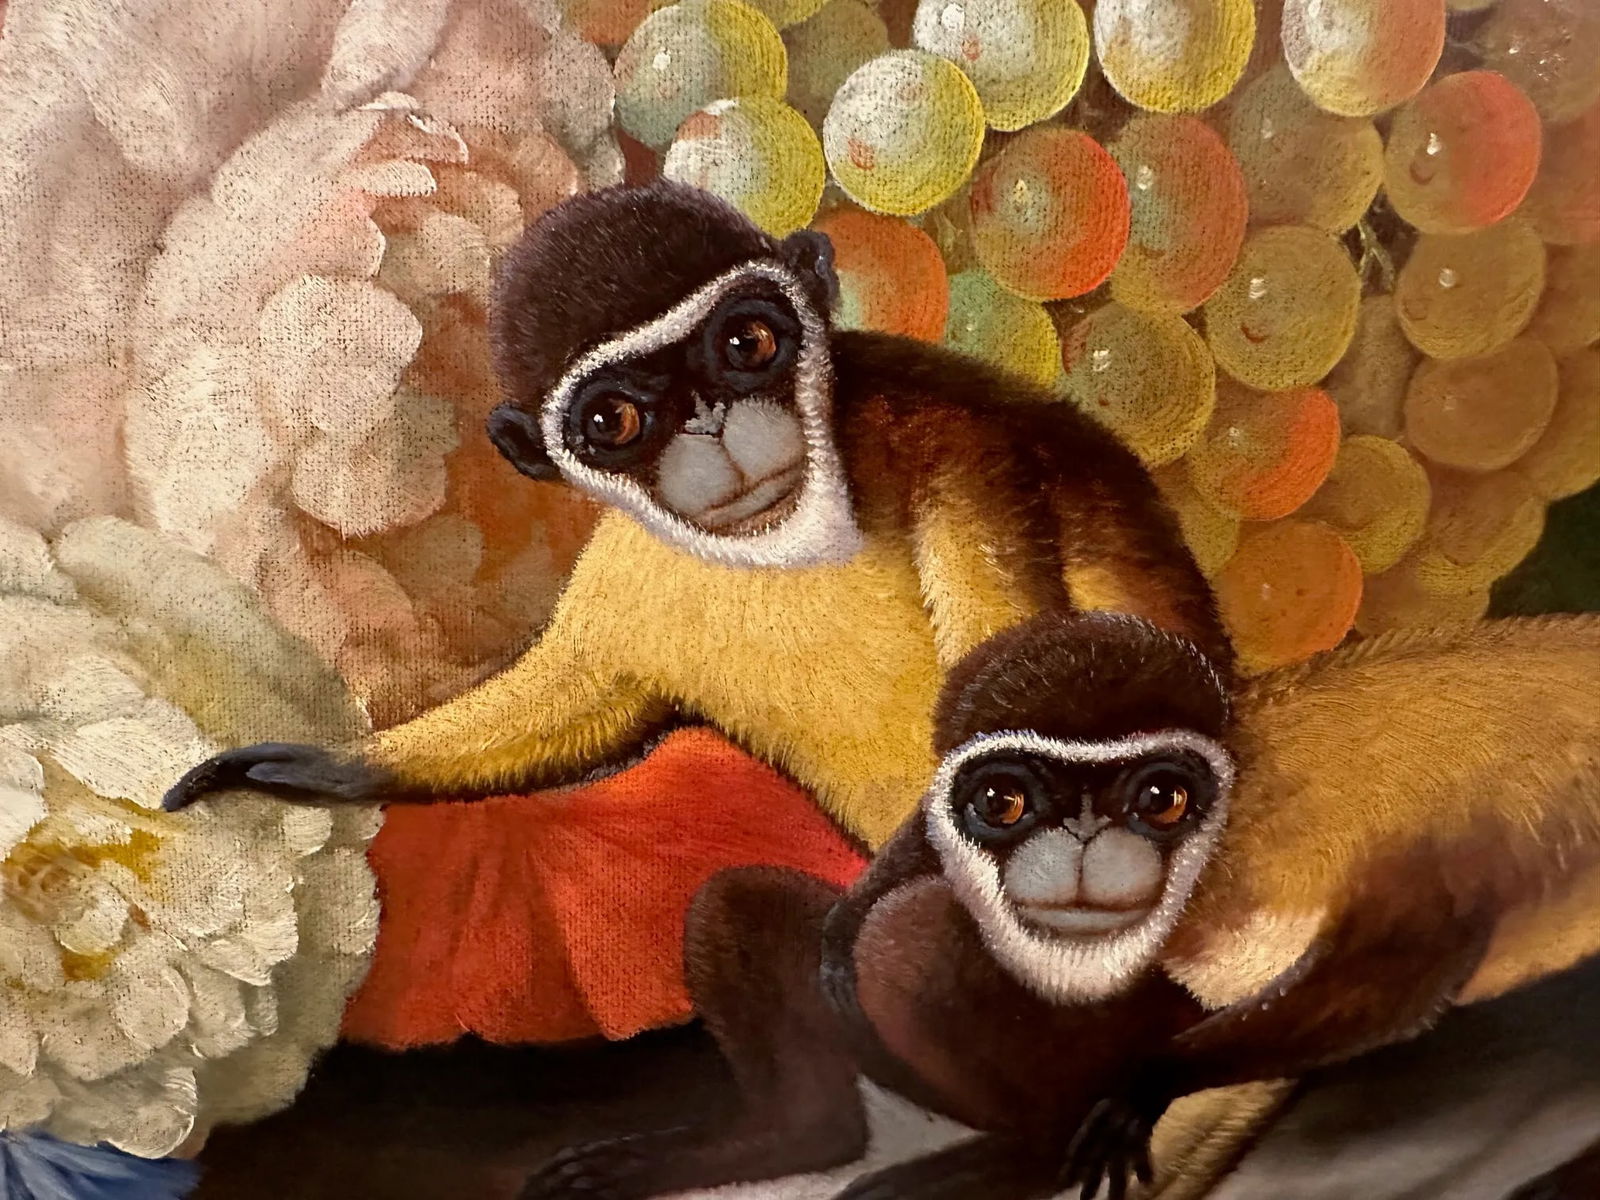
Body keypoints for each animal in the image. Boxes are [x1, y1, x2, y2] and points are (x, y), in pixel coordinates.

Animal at [518, 608, 1600, 1200]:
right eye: (1004, 800)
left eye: (1158, 797)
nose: (1081, 838)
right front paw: (862, 895)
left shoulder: (1394, 842)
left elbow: (1401, 970)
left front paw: (1145, 1087)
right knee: (754, 905)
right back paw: (799, 1133)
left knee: (911, 940)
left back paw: (1024, 1158)